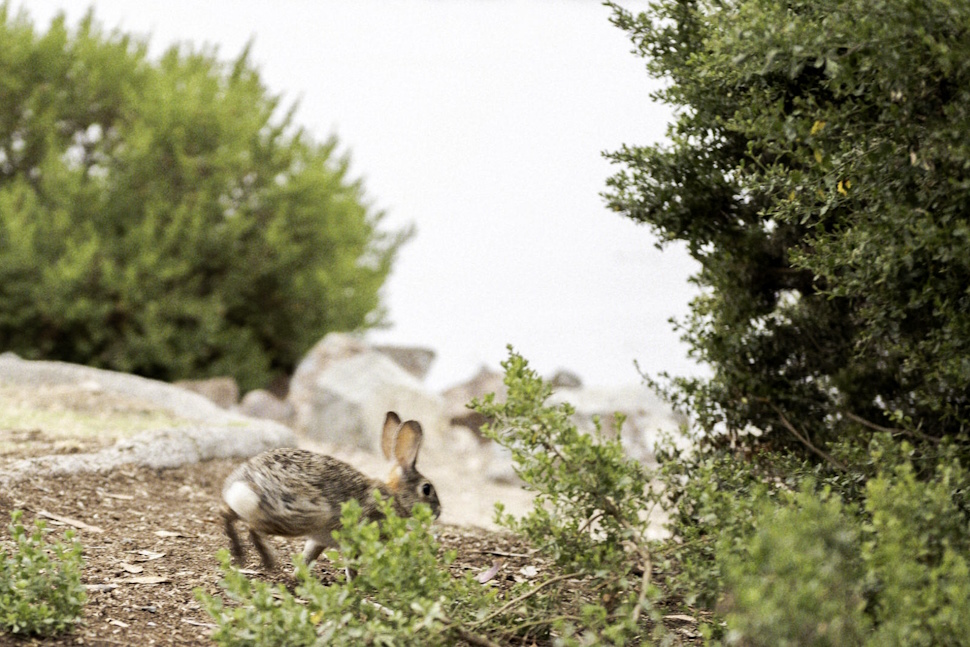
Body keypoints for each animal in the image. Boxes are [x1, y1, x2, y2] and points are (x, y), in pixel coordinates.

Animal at [219, 412, 438, 568]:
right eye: (426, 489)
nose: (438, 512)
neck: (395, 498)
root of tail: (247, 485)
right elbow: (351, 565)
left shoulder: (319, 540)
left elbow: (309, 556)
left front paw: (297, 578)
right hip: (303, 515)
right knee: (253, 527)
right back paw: (268, 560)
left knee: (226, 514)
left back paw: (239, 554)